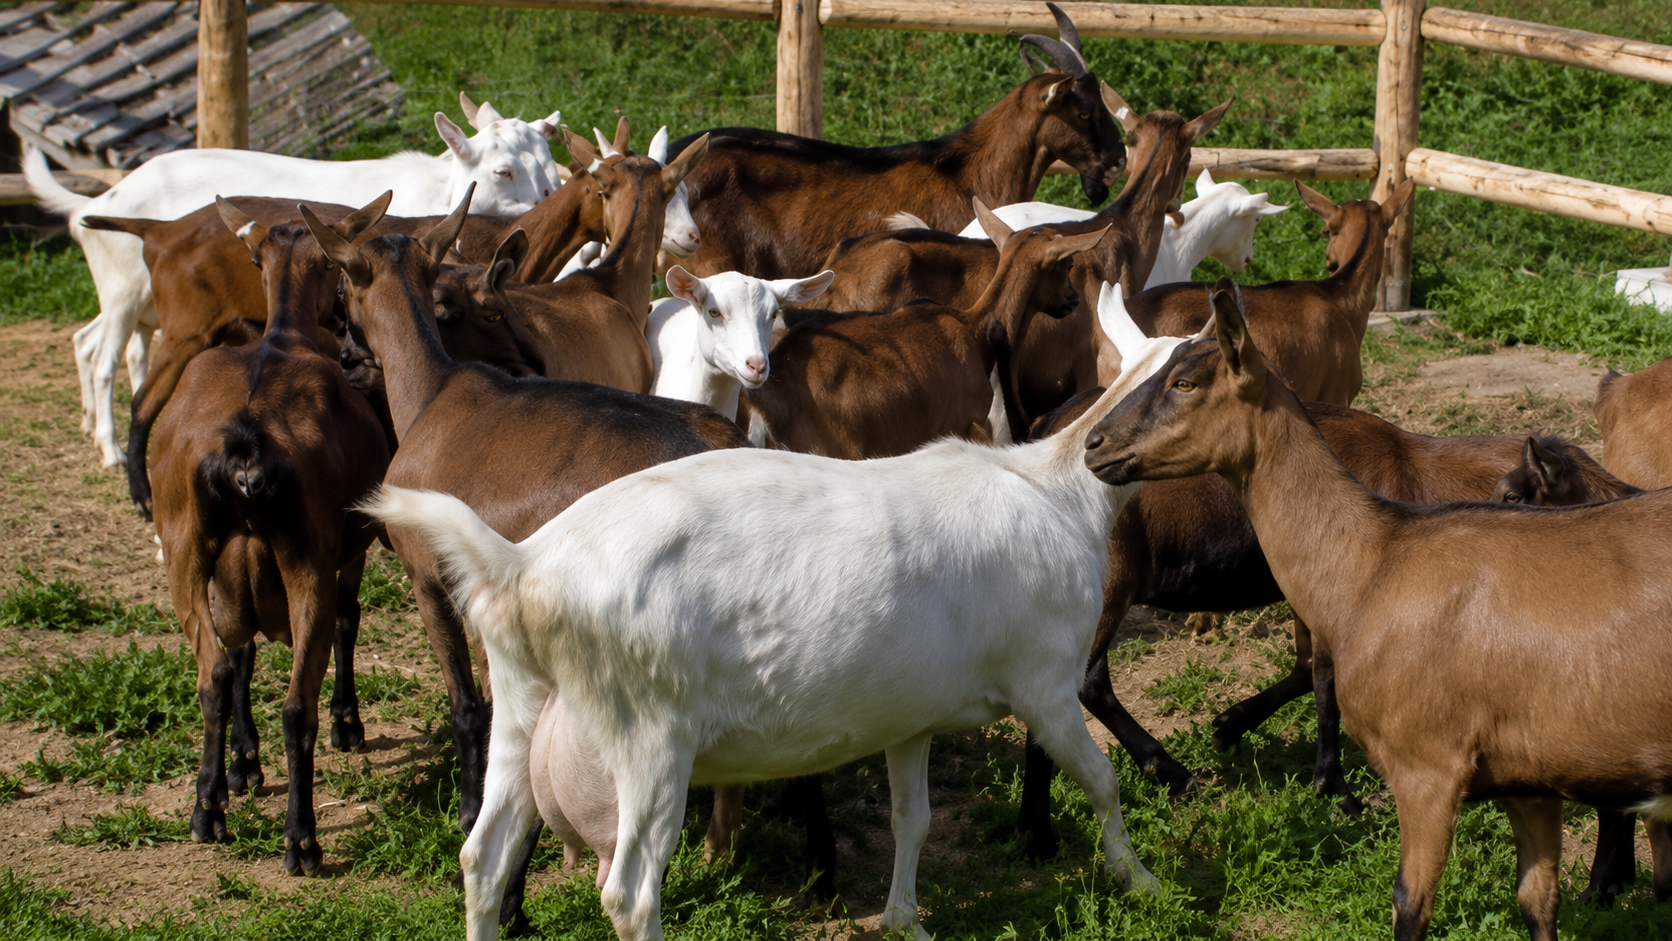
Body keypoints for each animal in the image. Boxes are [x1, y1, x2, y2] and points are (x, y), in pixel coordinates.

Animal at [27, 101, 561, 470]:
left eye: (550, 166)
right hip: (125, 295)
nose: (543, 202)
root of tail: (97, 204)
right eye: (502, 170)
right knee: (104, 359)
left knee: (91, 342)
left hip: (139, 305)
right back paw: (110, 448)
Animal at [150, 202, 390, 876]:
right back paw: (302, 841)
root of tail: (246, 440)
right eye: (337, 280)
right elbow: (348, 617)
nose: (342, 324)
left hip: (184, 550)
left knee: (212, 676)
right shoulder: (347, 548)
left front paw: (240, 767)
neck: (283, 334)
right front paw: (347, 724)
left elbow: (238, 656)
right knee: (295, 702)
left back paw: (207, 811)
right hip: (305, 557)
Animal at [298, 191, 765, 929]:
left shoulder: (431, 583)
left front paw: (471, 816)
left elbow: (469, 708)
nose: (346, 355)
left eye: (342, 287)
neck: (434, 393)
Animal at [358, 303, 1210, 941]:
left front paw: (904, 917)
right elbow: (1100, 779)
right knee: (630, 892)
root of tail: (523, 563)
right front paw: (1142, 878)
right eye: (1189, 373)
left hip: (521, 697)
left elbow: (913, 818)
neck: (1058, 490)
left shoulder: (911, 713)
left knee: (483, 855)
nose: (1111, 448)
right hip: (647, 736)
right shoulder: (1046, 683)